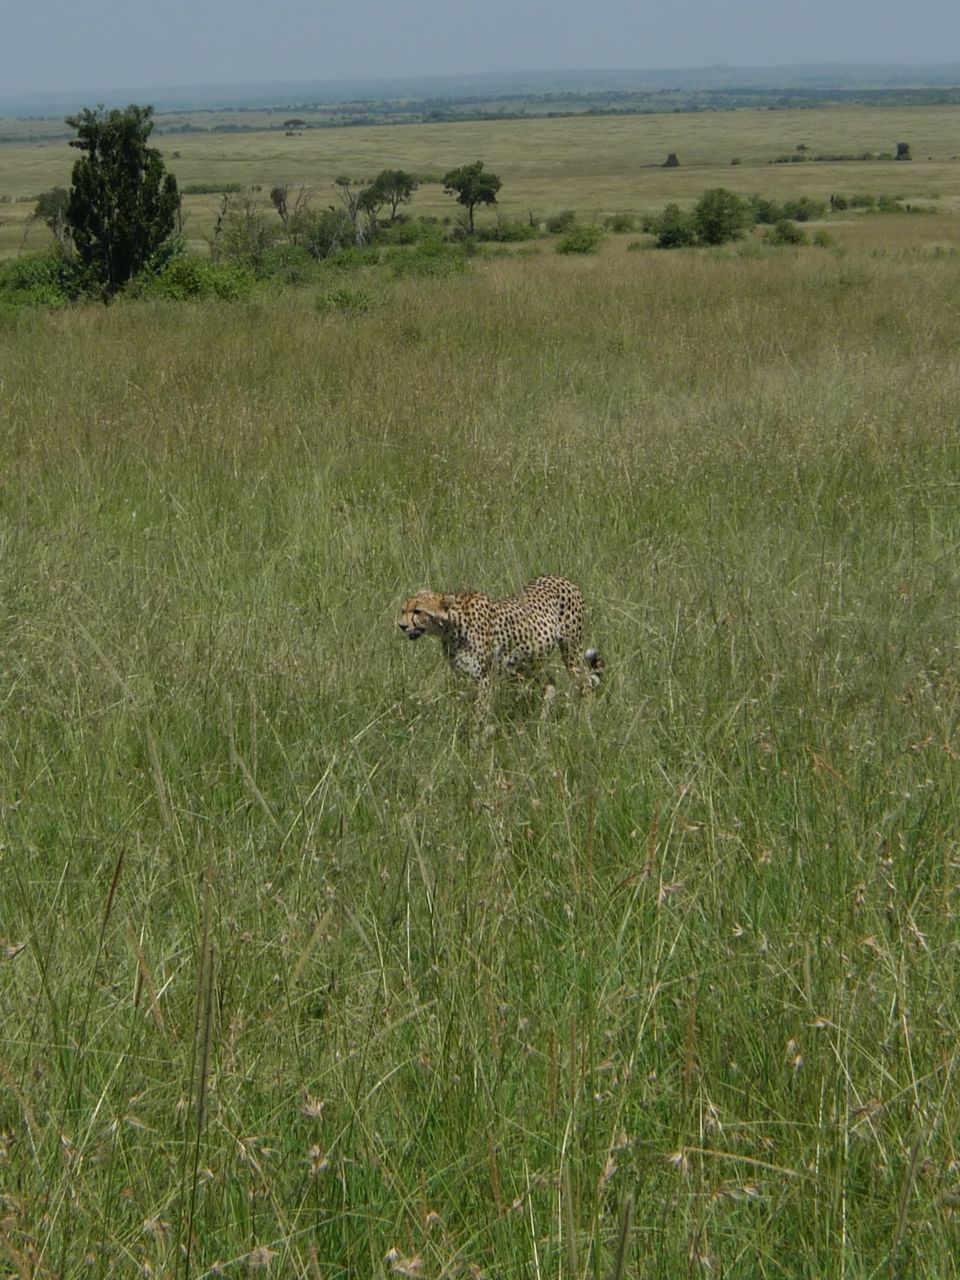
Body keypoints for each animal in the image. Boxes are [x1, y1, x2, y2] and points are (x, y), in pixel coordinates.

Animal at [399, 576, 601, 727]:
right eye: (403, 610)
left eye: (417, 611)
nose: (401, 626)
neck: (452, 626)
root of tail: (563, 578)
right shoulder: (468, 679)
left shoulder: (483, 679)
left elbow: (479, 715)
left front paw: (475, 744)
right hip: (528, 662)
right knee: (550, 682)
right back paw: (541, 723)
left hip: (571, 651)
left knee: (585, 683)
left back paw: (586, 719)